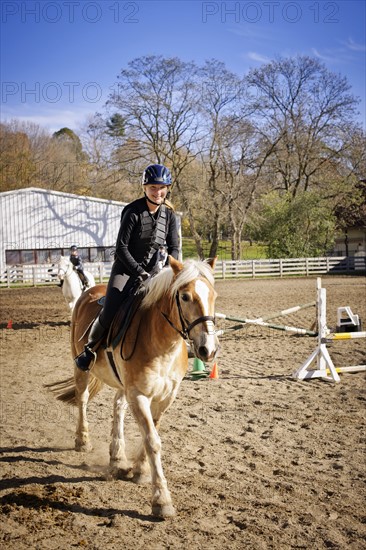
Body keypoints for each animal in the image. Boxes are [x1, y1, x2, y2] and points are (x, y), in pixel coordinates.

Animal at [47, 256, 219, 520]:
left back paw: (117, 455)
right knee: (82, 398)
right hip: (82, 368)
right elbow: (152, 441)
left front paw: (140, 470)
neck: (161, 342)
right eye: (185, 296)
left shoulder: (165, 397)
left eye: (214, 295)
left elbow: (152, 434)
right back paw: (83, 440)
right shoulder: (138, 395)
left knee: (117, 406)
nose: (207, 349)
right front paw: (161, 500)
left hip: (123, 384)